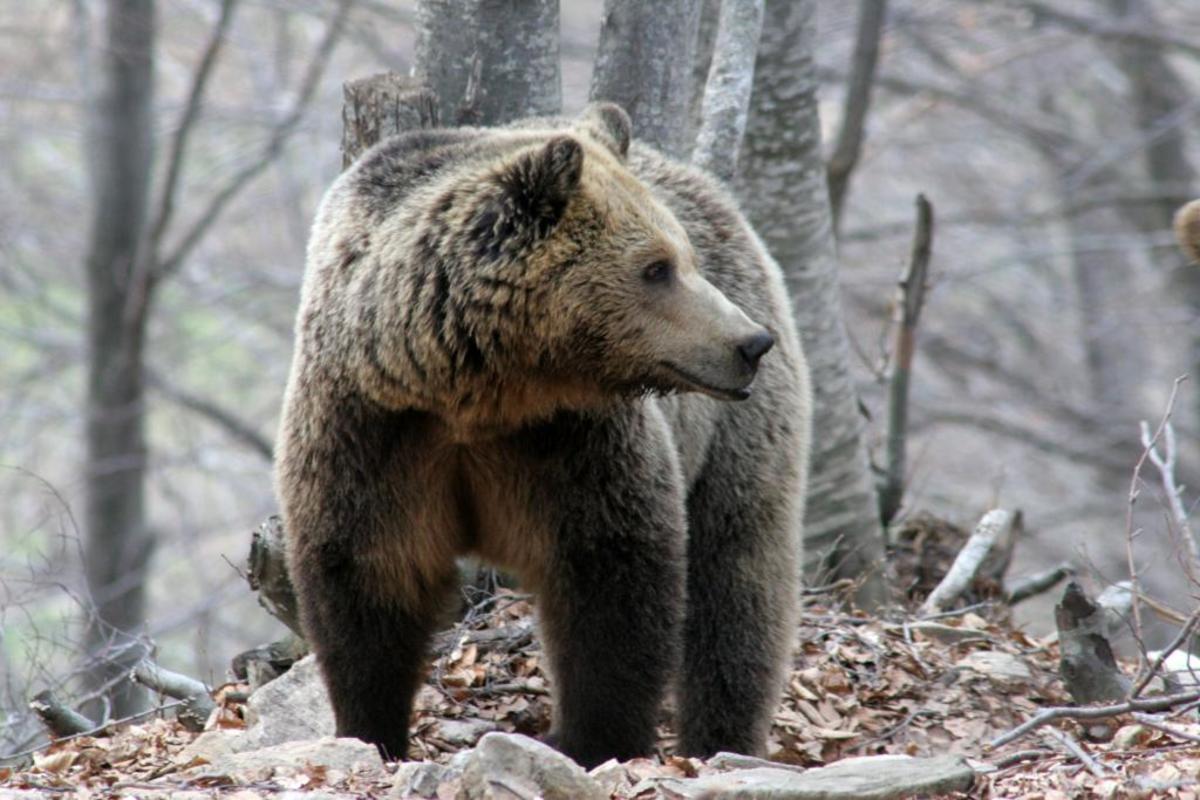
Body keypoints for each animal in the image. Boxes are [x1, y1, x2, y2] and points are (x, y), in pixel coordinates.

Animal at [276, 103, 811, 767]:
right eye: (656, 268)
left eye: (681, 258)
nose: (749, 342)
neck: (476, 391)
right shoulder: (372, 431)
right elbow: (364, 580)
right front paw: (373, 730)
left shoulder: (570, 443)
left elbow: (611, 585)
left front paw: (592, 739)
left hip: (733, 438)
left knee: (738, 580)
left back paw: (723, 737)